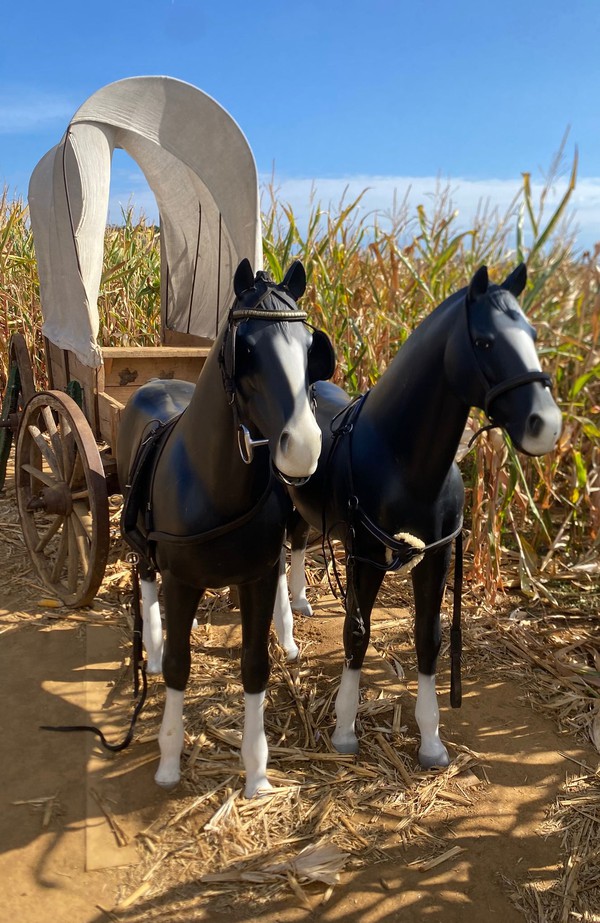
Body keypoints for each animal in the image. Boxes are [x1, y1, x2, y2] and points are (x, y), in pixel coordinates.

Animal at [116, 258, 335, 797]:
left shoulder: (256, 575)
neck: (212, 484)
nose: (303, 446)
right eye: (247, 350)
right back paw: (152, 646)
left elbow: (255, 665)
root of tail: (151, 384)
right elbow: (179, 667)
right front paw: (169, 760)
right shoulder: (181, 579)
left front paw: (256, 771)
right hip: (145, 548)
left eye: (310, 348)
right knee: (145, 581)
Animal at [276, 263, 562, 769]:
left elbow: (429, 639)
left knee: (297, 543)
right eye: (484, 341)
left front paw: (431, 740)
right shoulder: (367, 556)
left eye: (531, 334)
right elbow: (356, 634)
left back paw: (302, 601)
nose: (545, 425)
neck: (402, 463)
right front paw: (345, 731)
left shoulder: (437, 556)